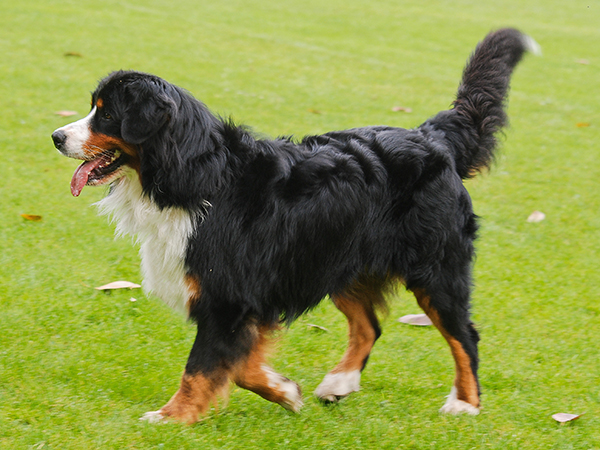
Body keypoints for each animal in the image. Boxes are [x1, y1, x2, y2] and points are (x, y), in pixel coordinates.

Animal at [51, 29, 536, 426]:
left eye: (106, 115)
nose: (56, 136)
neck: (195, 177)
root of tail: (432, 136)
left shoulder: (227, 295)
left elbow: (202, 366)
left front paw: (173, 416)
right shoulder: (246, 297)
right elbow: (240, 365)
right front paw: (285, 391)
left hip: (434, 268)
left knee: (463, 335)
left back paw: (465, 403)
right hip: (338, 258)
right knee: (369, 326)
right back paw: (339, 383)